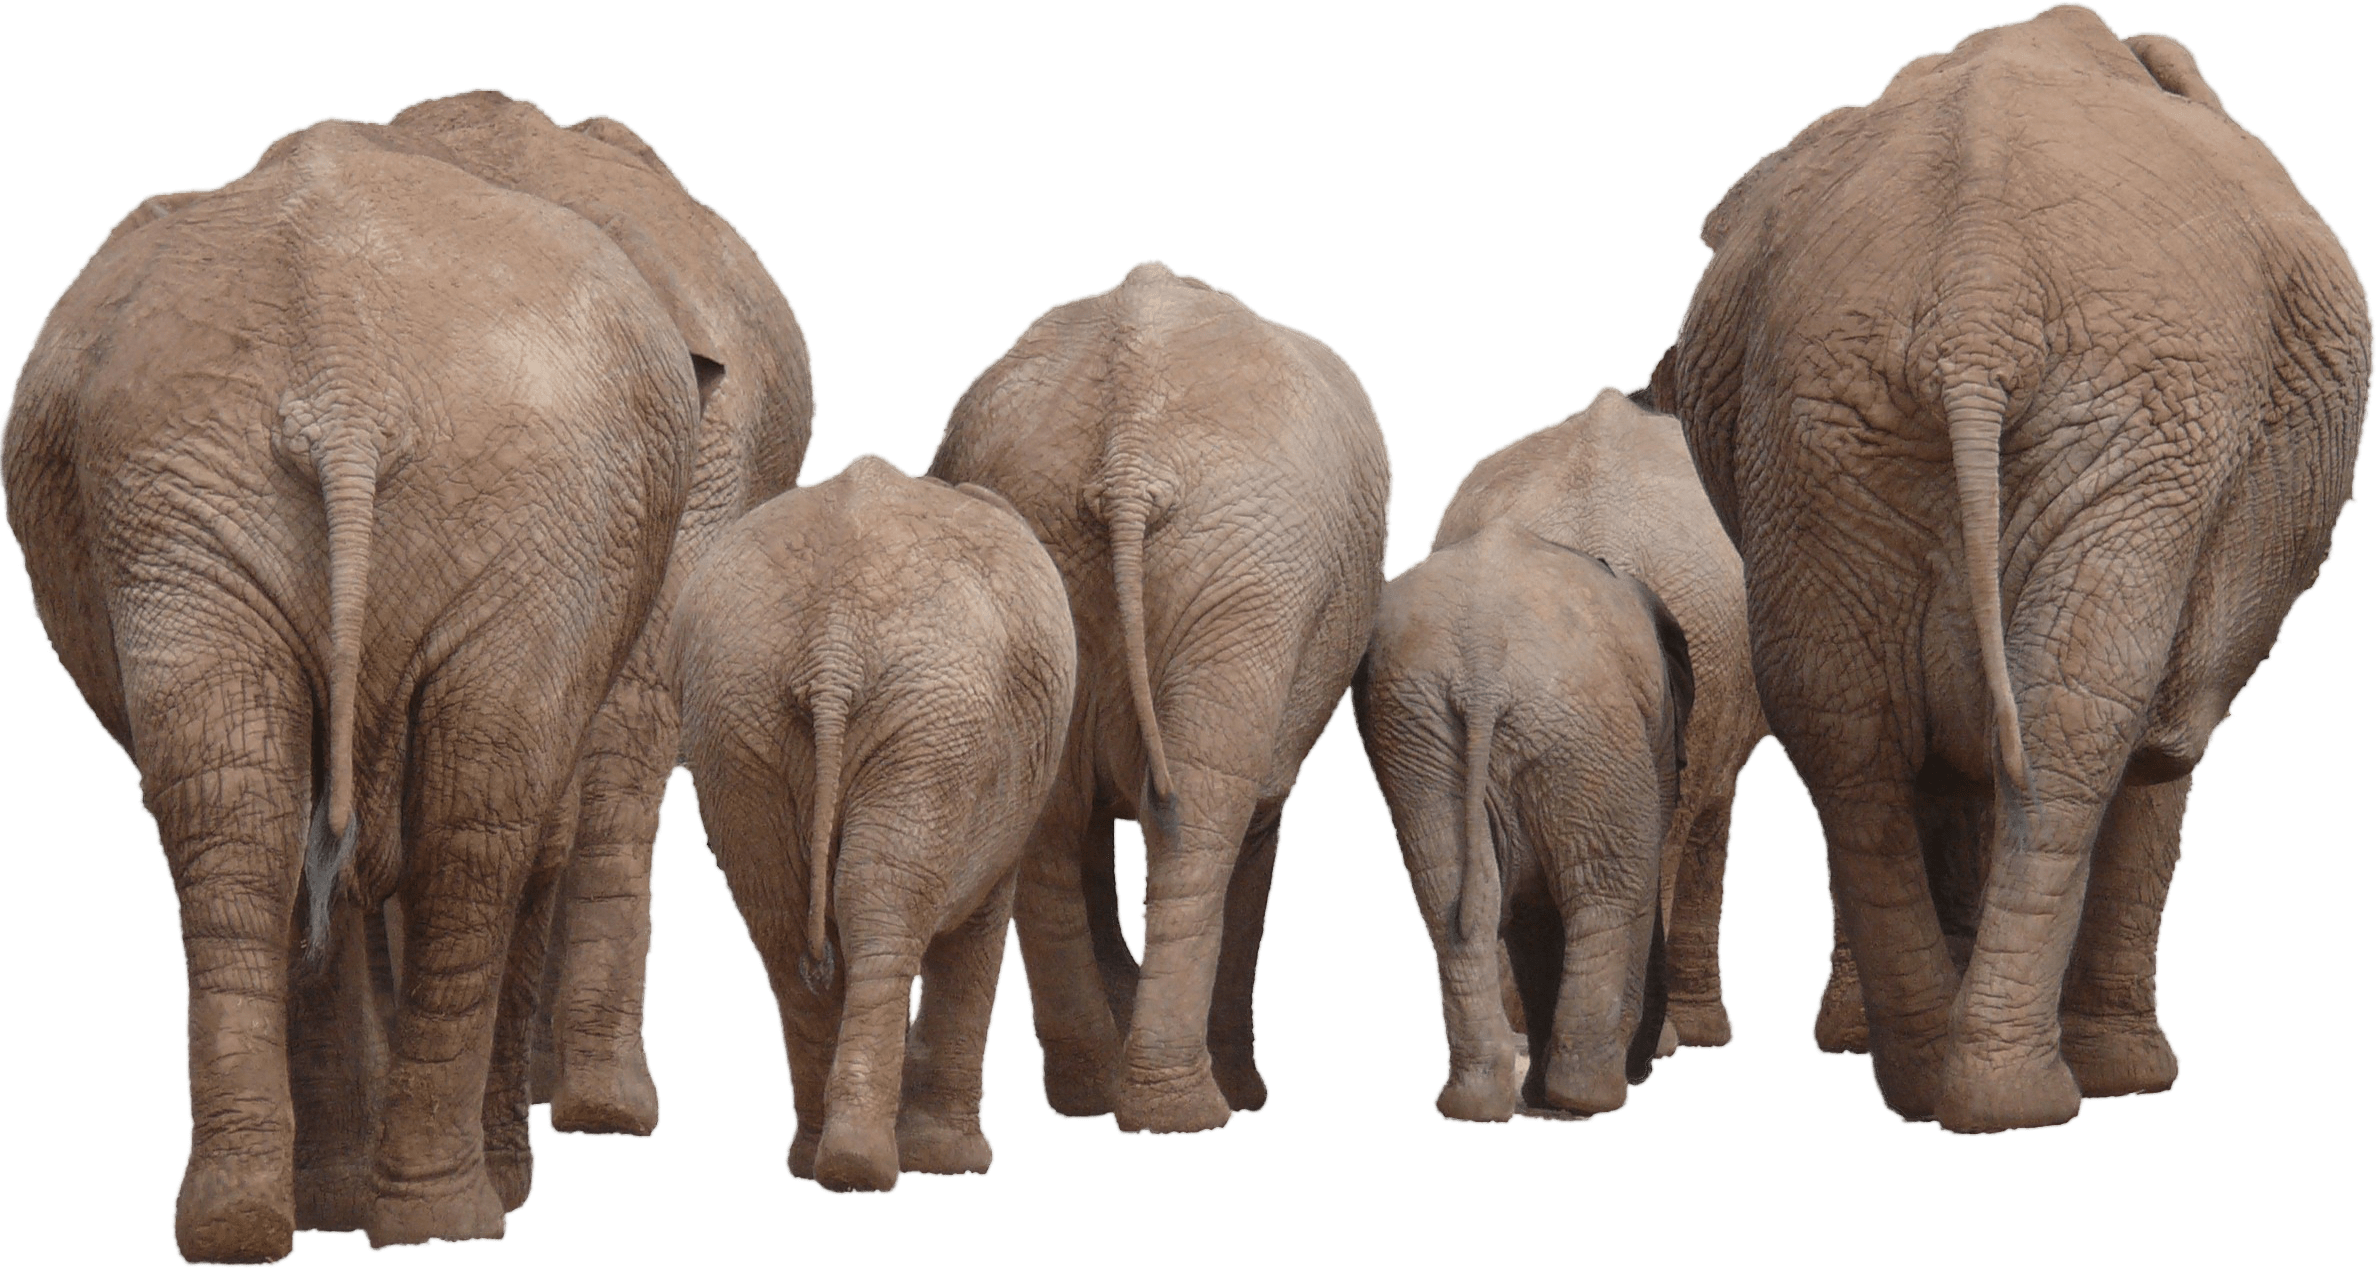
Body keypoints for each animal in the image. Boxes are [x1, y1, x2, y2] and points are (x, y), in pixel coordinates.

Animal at [0, 116, 707, 1258]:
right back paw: (441, 1216)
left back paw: (254, 1223)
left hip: (191, 493)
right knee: (471, 812)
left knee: (241, 796)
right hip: (460, 489)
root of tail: (344, 383)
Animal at [672, 454, 1076, 1194]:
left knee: (781, 922)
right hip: (927, 719)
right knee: (880, 908)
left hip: (737, 714)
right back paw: (863, 1167)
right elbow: (978, 921)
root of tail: (832, 639)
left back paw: (825, 1162)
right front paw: (954, 1163)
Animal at [923, 259, 1393, 1135]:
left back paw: (1091, 1097)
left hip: (1062, 544)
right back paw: (1190, 1112)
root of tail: (1127, 450)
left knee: (1054, 816)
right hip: (1248, 578)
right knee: (1202, 815)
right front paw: (1240, 1095)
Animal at [1352, 520, 1693, 1123]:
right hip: (1581, 725)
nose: (1647, 1067)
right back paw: (1592, 1100)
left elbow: (1527, 915)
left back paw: (1476, 1106)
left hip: (1418, 730)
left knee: (1450, 898)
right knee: (1607, 892)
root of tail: (1482, 670)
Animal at [1648, 2, 2372, 1133]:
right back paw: (2027, 1099)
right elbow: (2162, 743)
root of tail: (1973, 298)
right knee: (2078, 713)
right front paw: (2132, 1079)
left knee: (1845, 719)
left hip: (1819, 425)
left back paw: (1929, 1085)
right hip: (2129, 417)